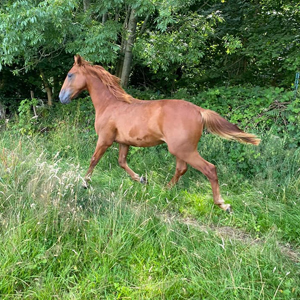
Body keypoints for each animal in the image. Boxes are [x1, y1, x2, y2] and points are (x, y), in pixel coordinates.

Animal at [59, 55, 260, 212]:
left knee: (209, 169)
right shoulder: (123, 142)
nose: (61, 97)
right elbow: (122, 162)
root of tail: (199, 111)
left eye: (70, 74)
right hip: (181, 150)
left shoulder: (104, 140)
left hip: (184, 150)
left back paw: (223, 204)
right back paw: (165, 189)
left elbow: (94, 160)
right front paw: (141, 179)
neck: (110, 105)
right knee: (182, 169)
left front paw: (84, 183)